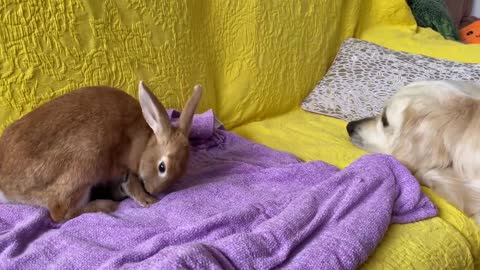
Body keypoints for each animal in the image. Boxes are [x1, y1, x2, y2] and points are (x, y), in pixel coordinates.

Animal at [0, 81, 202, 223]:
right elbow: (132, 184)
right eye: (162, 167)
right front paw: (147, 200)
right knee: (60, 213)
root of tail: (6, 188)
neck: (145, 143)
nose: (153, 190)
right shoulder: (125, 168)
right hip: (85, 165)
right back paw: (106, 205)